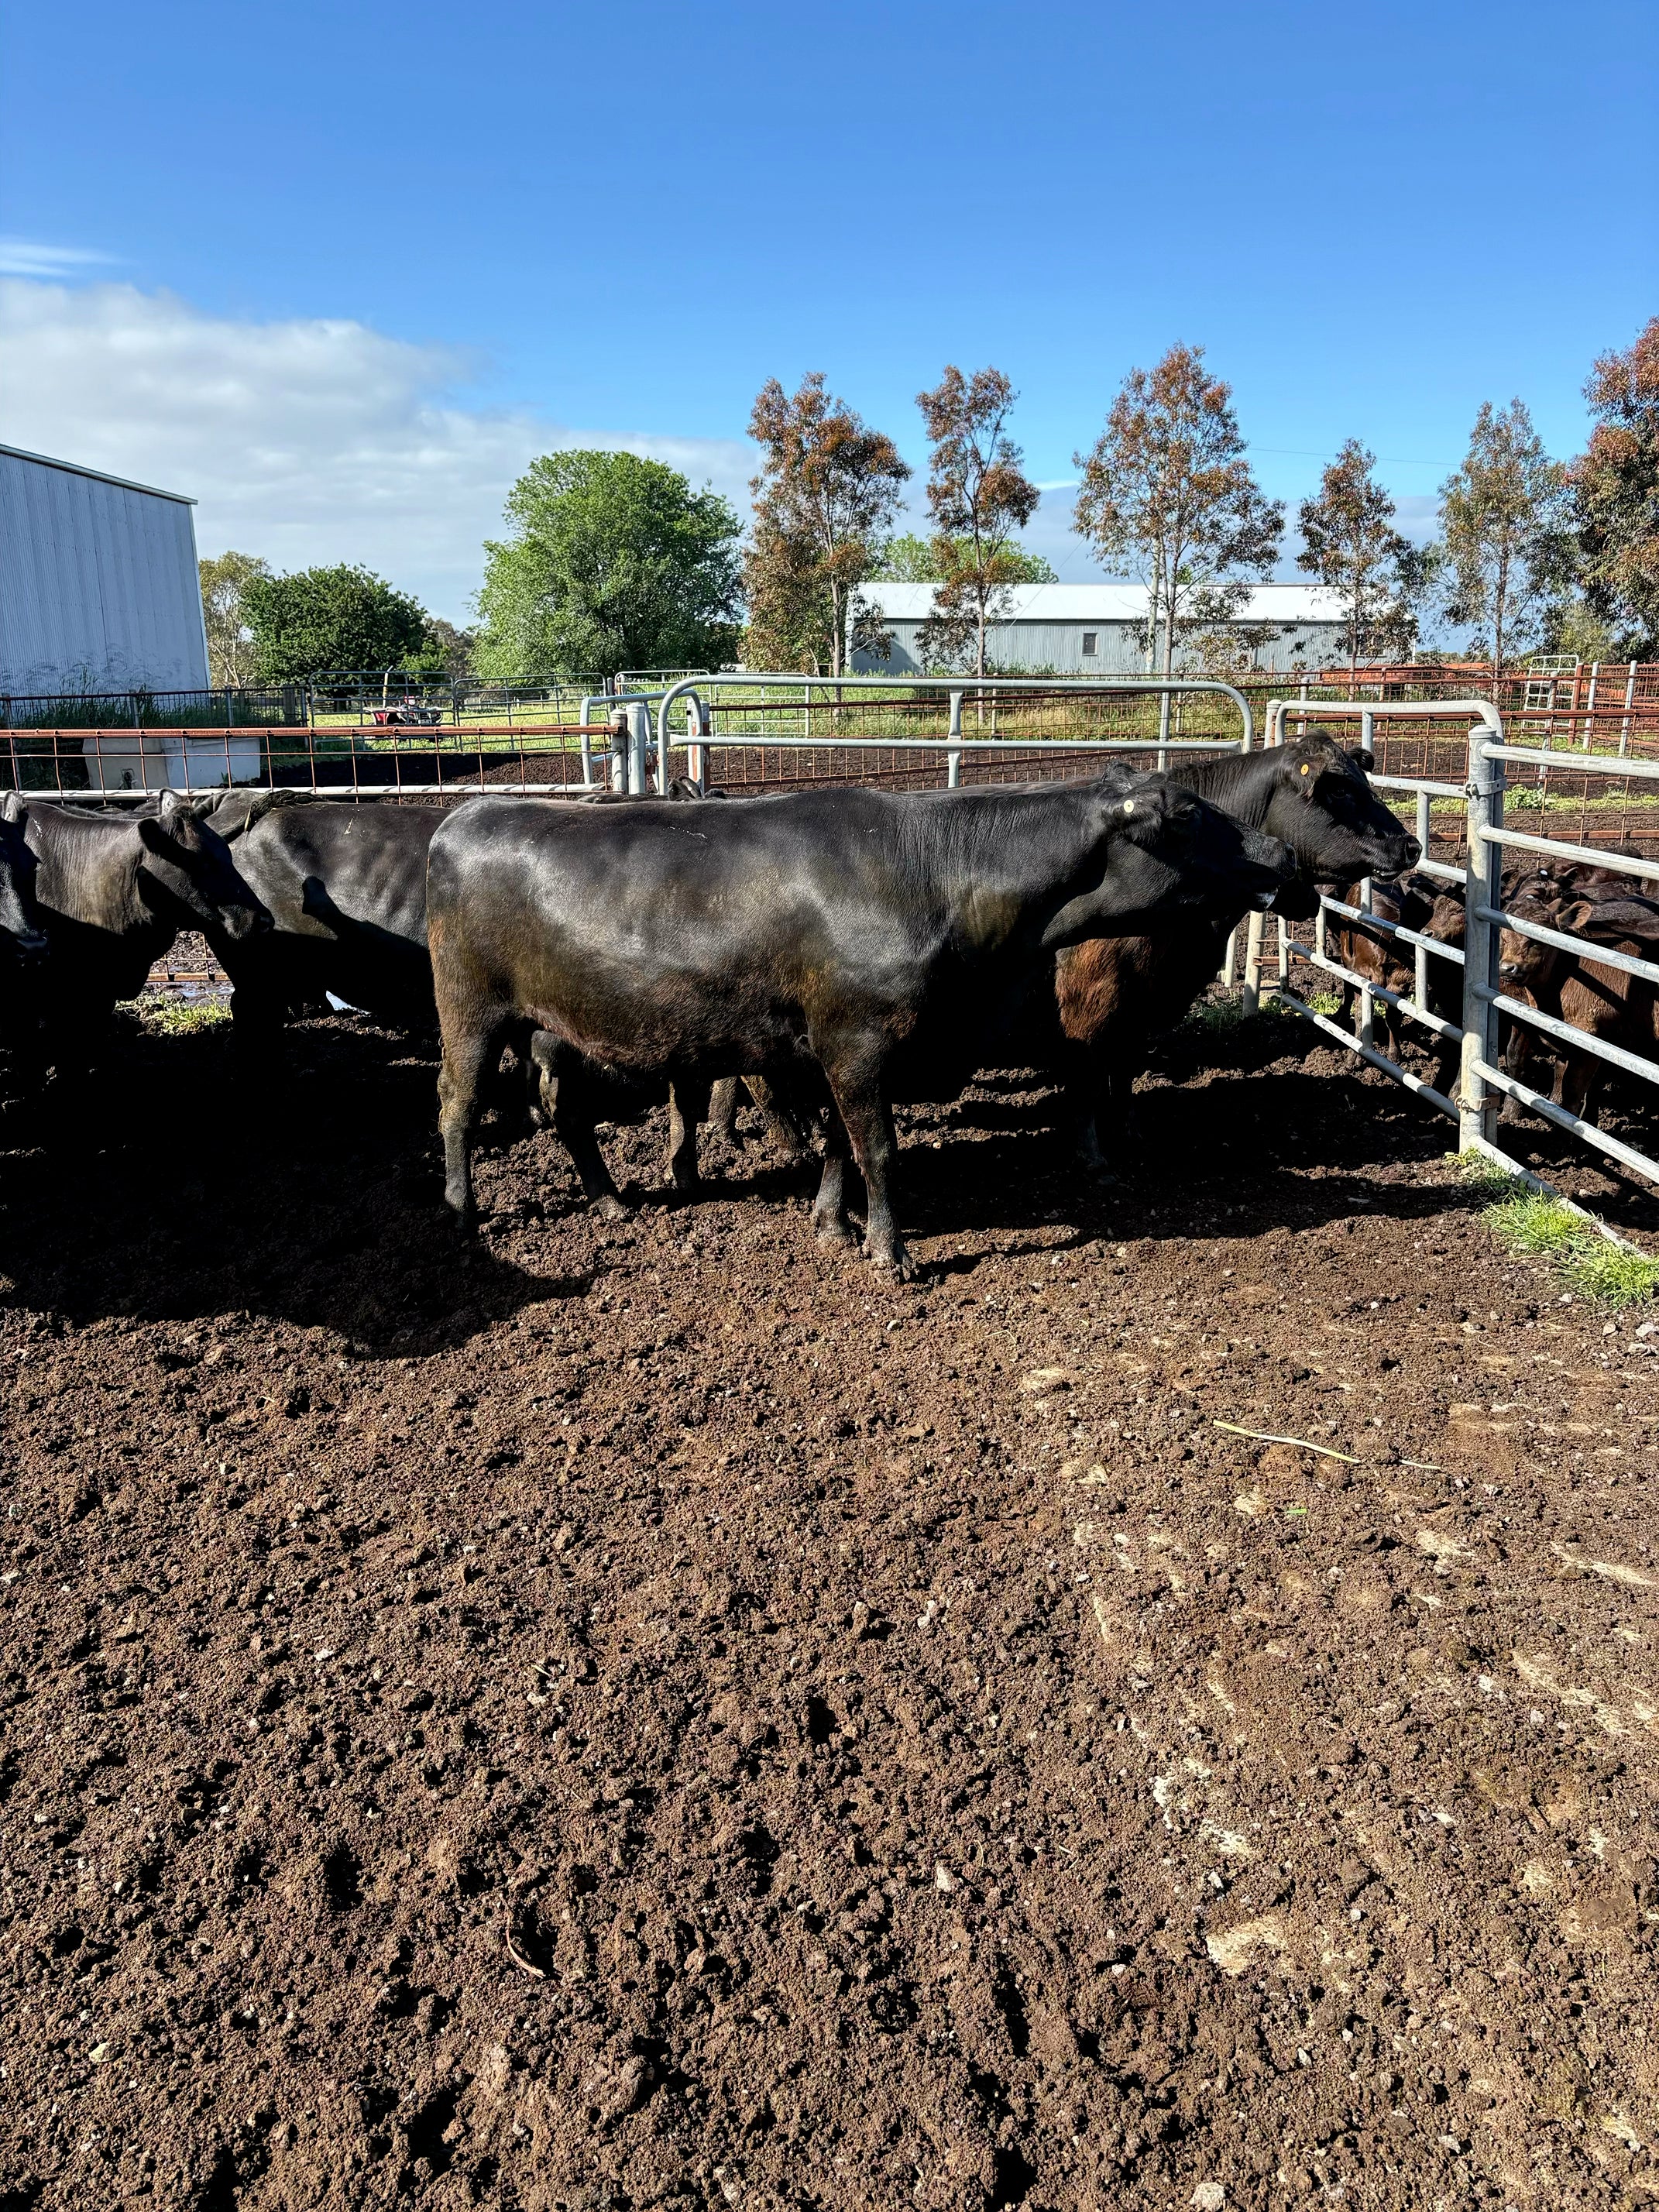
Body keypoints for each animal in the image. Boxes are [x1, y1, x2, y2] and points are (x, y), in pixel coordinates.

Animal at [427, 770, 1293, 1277]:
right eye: (1188, 814)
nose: (1281, 853)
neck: (934, 873)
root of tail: (463, 815)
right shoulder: (860, 1040)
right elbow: (878, 1148)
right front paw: (890, 1252)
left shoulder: (835, 1048)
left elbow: (840, 1142)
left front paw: (830, 1224)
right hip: (469, 1007)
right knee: (457, 1106)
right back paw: (462, 1214)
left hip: (555, 1028)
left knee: (566, 1115)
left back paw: (610, 1202)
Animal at [1041, 734, 1420, 1161]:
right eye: (1338, 789)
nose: (1411, 845)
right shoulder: (1089, 1001)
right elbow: (1089, 1076)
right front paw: (1092, 1154)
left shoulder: (1142, 1001)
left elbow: (1124, 1067)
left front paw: (1131, 1132)